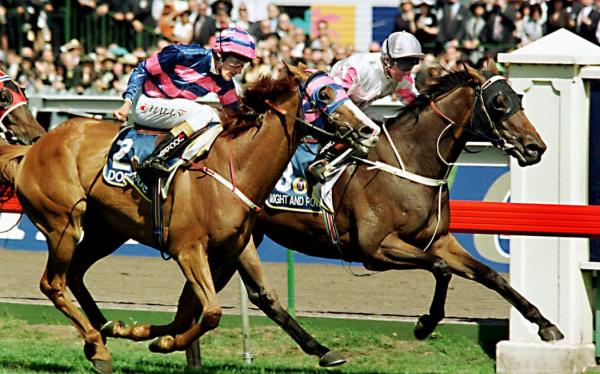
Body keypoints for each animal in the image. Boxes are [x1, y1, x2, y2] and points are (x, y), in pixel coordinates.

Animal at [0, 63, 376, 372]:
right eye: (325, 94)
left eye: (347, 91)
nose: (369, 130)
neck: (236, 168)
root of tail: (33, 147)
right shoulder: (189, 250)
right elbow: (210, 313)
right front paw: (162, 342)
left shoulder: (231, 250)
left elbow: (195, 313)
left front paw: (139, 332)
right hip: (62, 223)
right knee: (53, 284)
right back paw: (97, 346)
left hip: (106, 230)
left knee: (75, 273)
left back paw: (102, 332)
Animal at [99, 60, 564, 366]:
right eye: (499, 102)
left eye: (520, 97)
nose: (536, 147)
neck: (410, 163)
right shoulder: (376, 250)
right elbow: (441, 270)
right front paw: (424, 324)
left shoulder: (439, 240)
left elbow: (490, 276)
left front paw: (545, 325)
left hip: (236, 240)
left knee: (204, 298)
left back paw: (148, 336)